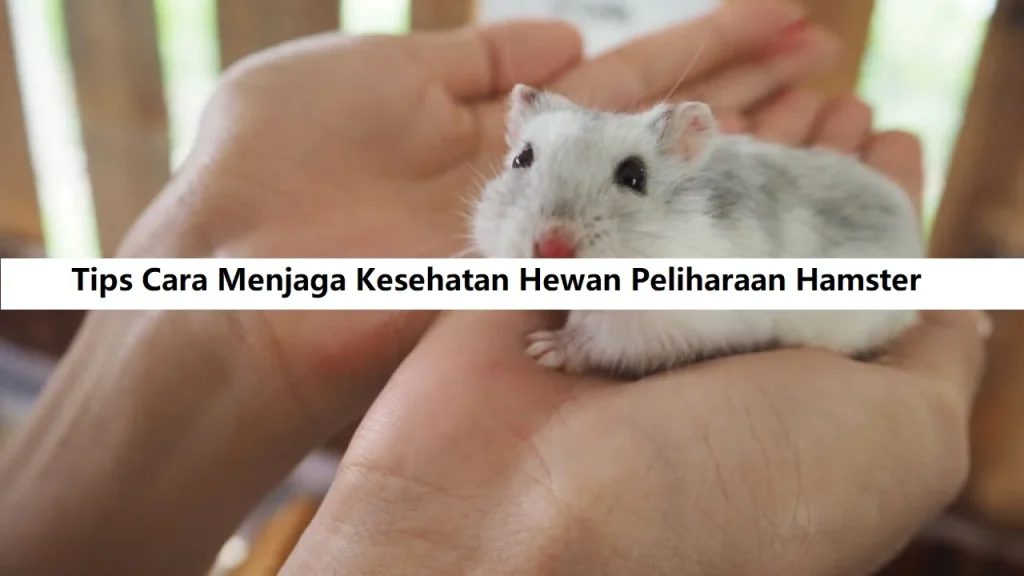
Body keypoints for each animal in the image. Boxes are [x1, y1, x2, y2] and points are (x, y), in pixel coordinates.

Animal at [469, 84, 923, 378]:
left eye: (634, 176)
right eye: (522, 158)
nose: (551, 247)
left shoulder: (670, 324)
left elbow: (602, 337)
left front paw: (546, 349)